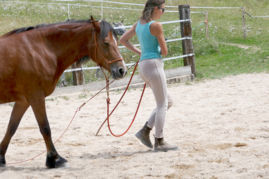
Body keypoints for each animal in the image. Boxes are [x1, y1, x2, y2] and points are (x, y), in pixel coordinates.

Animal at [0, 16, 126, 168]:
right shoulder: (36, 97)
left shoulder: (23, 101)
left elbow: (11, 128)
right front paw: (54, 158)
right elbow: (45, 128)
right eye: (106, 43)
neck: (39, 50)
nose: (122, 70)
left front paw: (0, 157)